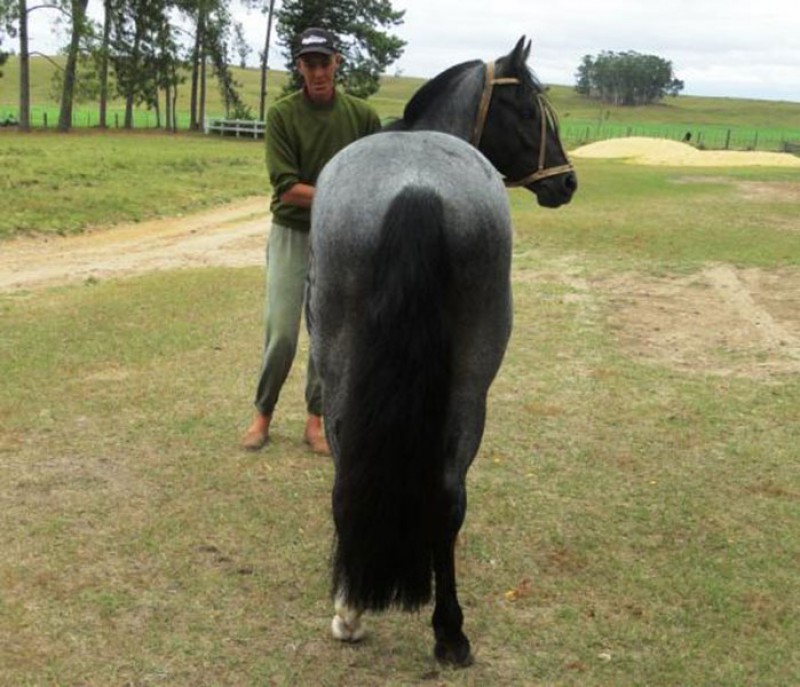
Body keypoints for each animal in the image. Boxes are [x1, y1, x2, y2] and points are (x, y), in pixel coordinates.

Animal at [306, 37, 576, 667]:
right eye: (529, 110)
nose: (567, 182)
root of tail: (417, 188)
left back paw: (352, 612)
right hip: (468, 385)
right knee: (447, 495)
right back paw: (450, 633)